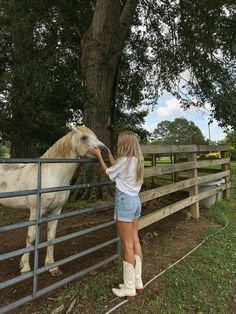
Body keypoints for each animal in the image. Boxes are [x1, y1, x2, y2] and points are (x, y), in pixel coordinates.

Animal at [0, 126, 108, 276]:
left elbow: (51, 237)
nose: (105, 151)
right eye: (84, 137)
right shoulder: (35, 211)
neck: (51, 175)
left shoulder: (56, 210)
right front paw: (26, 267)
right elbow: (31, 237)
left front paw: (51, 266)